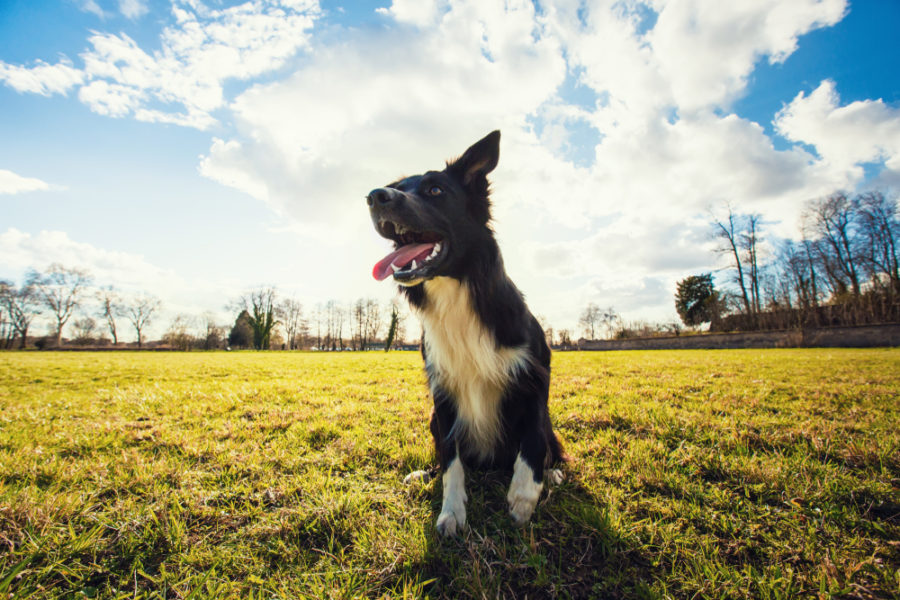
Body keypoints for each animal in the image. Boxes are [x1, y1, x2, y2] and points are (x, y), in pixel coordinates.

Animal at [366, 130, 564, 536]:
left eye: (436, 190)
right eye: (396, 187)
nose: (376, 196)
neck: (457, 292)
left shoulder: (535, 377)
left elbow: (533, 442)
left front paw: (523, 498)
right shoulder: (443, 393)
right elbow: (451, 461)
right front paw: (452, 512)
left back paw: (552, 474)